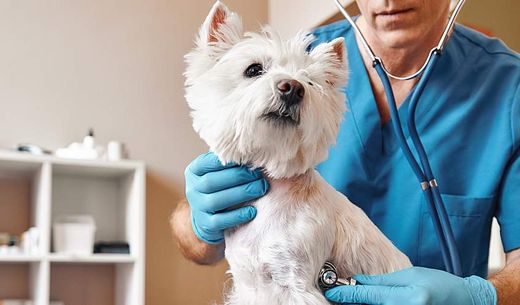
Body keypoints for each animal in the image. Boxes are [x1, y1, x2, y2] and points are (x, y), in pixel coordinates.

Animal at [185, 1, 412, 302]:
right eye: (253, 70)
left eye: (311, 83)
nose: (292, 87)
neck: (270, 192)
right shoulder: (247, 281)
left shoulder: (297, 282)